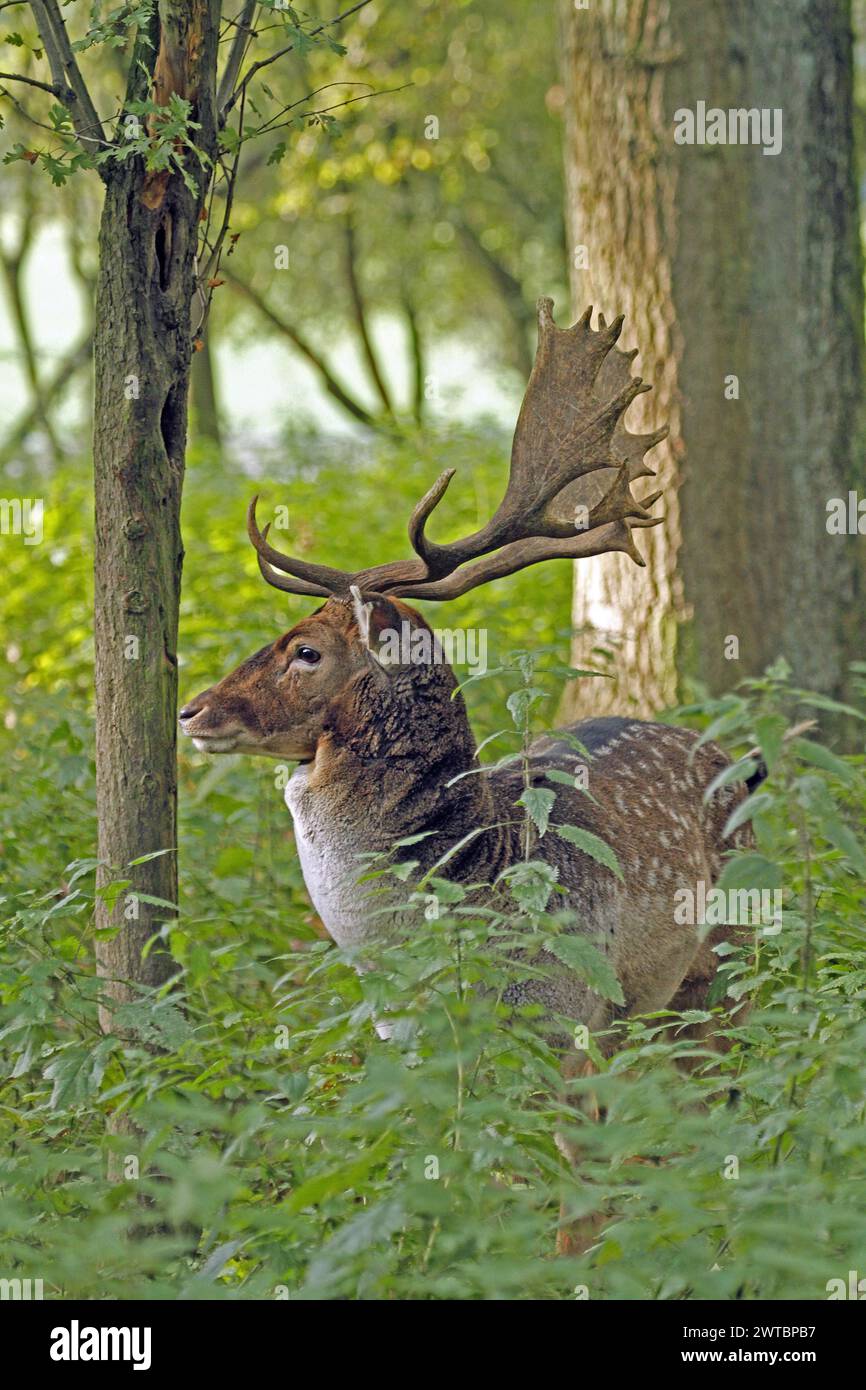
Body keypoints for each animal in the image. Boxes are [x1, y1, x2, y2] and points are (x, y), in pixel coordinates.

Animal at [179, 301, 757, 1243]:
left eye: (305, 650)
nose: (192, 711)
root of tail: (733, 760)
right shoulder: (415, 1042)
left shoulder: (562, 1018)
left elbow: (571, 1195)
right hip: (646, 1010)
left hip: (726, 963)